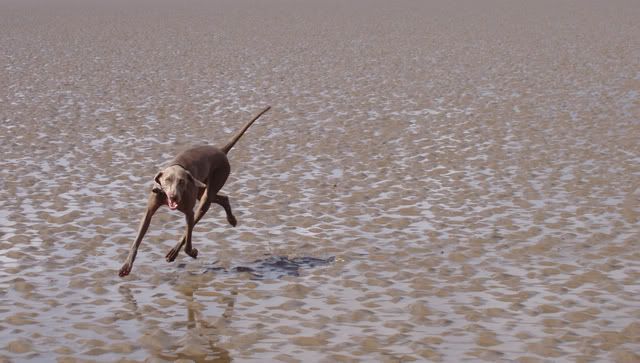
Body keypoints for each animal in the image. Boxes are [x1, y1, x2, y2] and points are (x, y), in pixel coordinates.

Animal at [118, 106, 270, 278]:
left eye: (182, 181)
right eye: (167, 180)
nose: (174, 196)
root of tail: (220, 150)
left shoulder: (189, 213)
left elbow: (188, 238)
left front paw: (192, 251)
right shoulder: (149, 211)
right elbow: (136, 240)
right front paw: (126, 266)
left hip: (211, 187)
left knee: (202, 211)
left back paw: (174, 252)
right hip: (202, 189)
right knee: (223, 198)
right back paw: (231, 219)